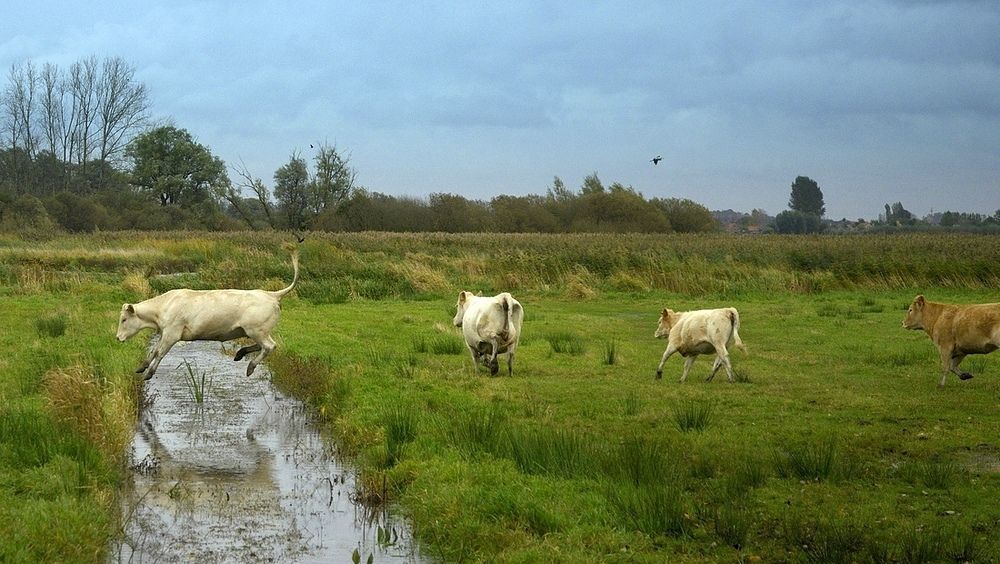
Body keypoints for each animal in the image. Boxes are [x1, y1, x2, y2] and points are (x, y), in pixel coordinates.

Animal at [117, 248, 299, 380]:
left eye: (124, 319)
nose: (117, 338)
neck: (165, 306)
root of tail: (271, 294)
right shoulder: (165, 333)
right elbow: (154, 350)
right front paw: (142, 366)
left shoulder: (172, 333)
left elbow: (160, 352)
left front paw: (149, 373)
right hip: (253, 331)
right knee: (264, 346)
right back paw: (240, 354)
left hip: (257, 330)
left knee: (269, 346)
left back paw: (250, 367)